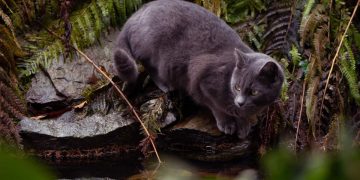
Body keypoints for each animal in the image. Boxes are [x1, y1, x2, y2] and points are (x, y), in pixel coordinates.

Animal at [113, 0, 284, 139]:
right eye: (237, 87)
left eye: (254, 92)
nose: (240, 102)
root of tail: (134, 16)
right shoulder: (203, 81)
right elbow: (215, 105)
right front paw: (227, 123)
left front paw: (244, 125)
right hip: (154, 52)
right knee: (149, 66)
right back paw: (166, 85)